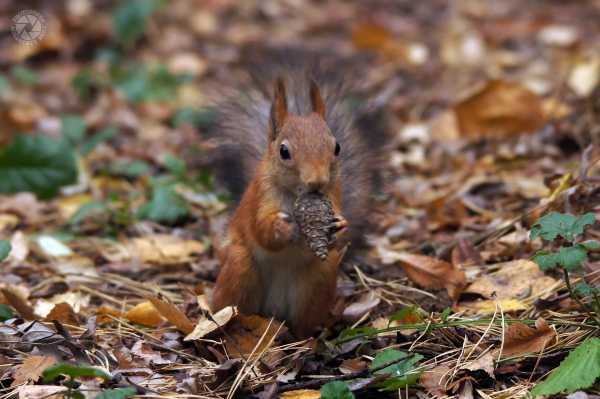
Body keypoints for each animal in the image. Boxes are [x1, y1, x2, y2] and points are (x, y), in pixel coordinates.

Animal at [211, 69, 380, 338]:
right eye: (284, 152)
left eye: (337, 147)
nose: (317, 182)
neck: (295, 196)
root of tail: (273, 310)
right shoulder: (260, 196)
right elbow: (260, 229)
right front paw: (283, 228)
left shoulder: (334, 192)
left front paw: (339, 225)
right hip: (239, 268)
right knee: (229, 307)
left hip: (319, 278)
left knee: (303, 324)